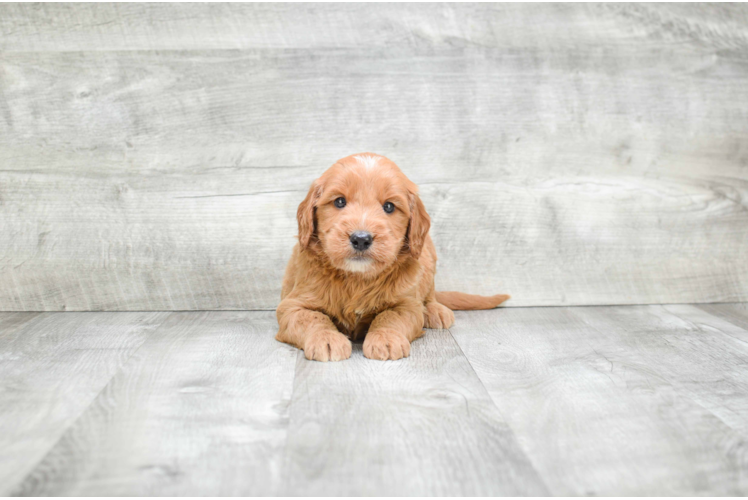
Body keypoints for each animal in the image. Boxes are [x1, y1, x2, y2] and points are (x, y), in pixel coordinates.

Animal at [274, 152, 508, 360]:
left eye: (389, 206)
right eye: (339, 202)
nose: (361, 239)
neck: (356, 279)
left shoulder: (407, 305)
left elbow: (389, 316)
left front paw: (386, 339)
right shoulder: (292, 304)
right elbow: (312, 317)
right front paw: (326, 339)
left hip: (428, 254)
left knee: (429, 293)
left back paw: (435, 310)